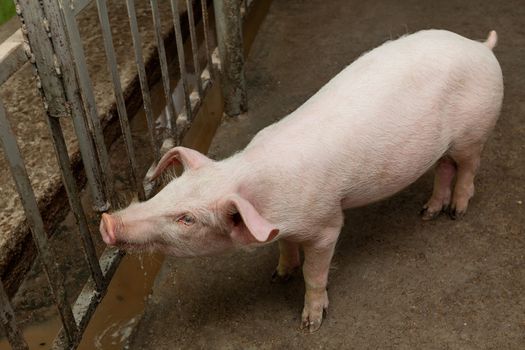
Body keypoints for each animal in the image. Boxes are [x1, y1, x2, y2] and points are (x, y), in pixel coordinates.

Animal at [99, 29, 504, 330]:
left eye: (187, 219)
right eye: (168, 190)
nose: (106, 223)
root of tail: (480, 46)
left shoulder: (326, 224)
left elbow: (315, 270)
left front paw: (310, 323)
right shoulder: (283, 225)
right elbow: (284, 246)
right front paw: (279, 275)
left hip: (475, 131)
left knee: (469, 167)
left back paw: (456, 212)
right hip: (445, 146)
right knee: (445, 167)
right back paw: (428, 212)